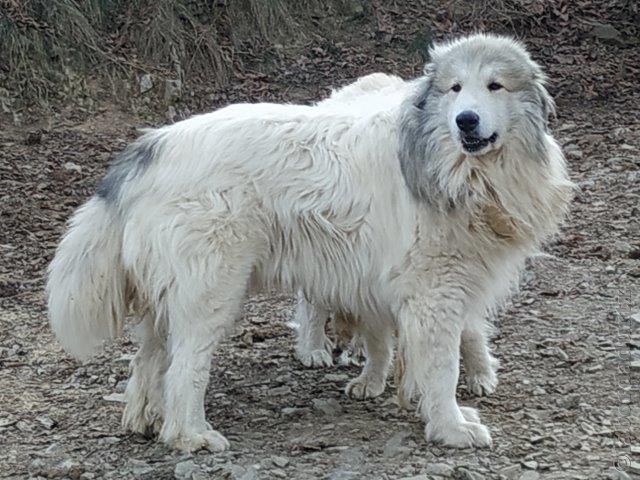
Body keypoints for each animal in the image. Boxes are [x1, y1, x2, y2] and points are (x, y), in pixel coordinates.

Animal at [47, 32, 572, 450]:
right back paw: (190, 435)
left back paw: (145, 419)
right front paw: (451, 427)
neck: (451, 166)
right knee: (184, 369)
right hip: (210, 290)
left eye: (495, 86)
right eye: (455, 89)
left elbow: (438, 340)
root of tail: (150, 146)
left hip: (169, 294)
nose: (465, 120)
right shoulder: (434, 293)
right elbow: (442, 367)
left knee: (149, 359)